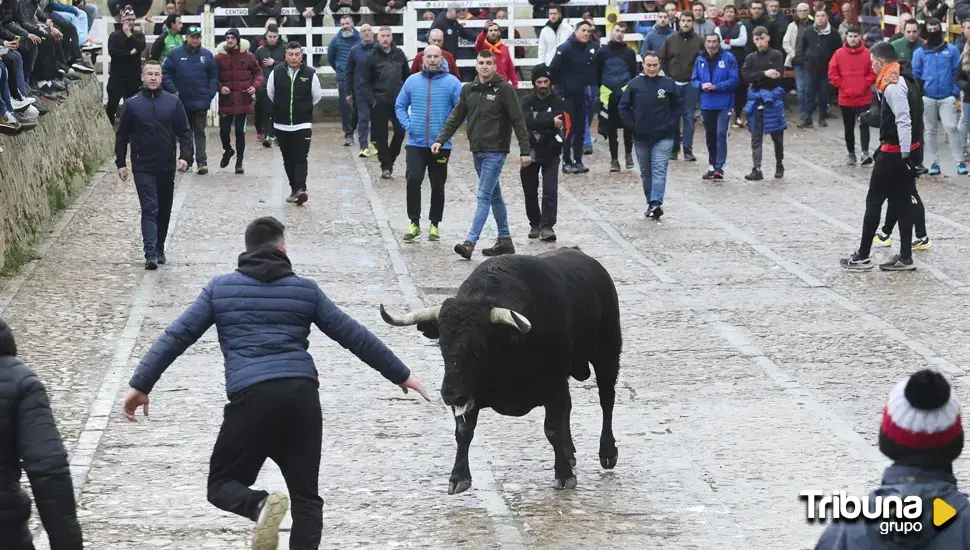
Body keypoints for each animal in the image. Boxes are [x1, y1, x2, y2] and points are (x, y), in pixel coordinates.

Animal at [378, 248, 620, 494]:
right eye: (442, 346)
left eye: (477, 349)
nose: (450, 395)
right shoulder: (470, 392)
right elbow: (463, 431)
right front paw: (458, 477)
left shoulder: (553, 384)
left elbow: (551, 429)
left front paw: (563, 474)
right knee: (569, 406)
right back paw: (569, 452)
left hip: (607, 354)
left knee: (606, 399)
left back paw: (607, 452)